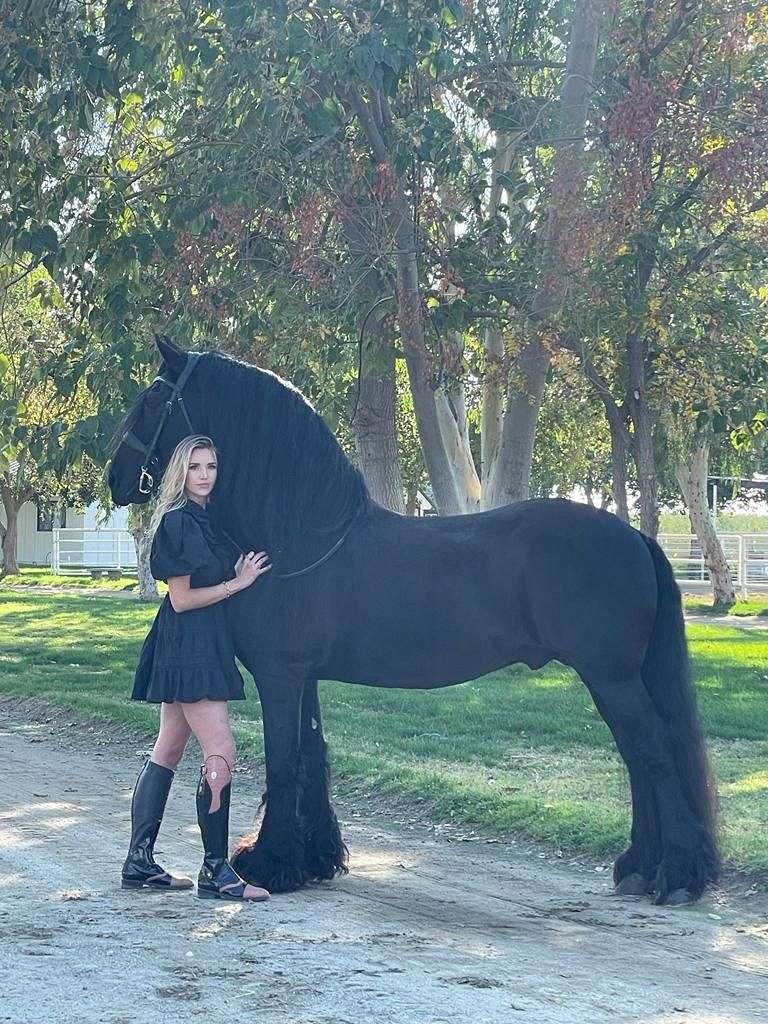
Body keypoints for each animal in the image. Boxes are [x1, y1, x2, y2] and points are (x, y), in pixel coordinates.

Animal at [108, 335, 720, 905]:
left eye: (154, 398)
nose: (116, 476)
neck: (300, 541)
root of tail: (635, 538)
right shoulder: (304, 677)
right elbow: (312, 754)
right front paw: (313, 859)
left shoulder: (280, 676)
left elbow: (283, 761)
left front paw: (271, 864)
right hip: (616, 679)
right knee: (639, 760)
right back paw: (642, 867)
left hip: (611, 676)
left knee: (652, 755)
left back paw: (674, 876)